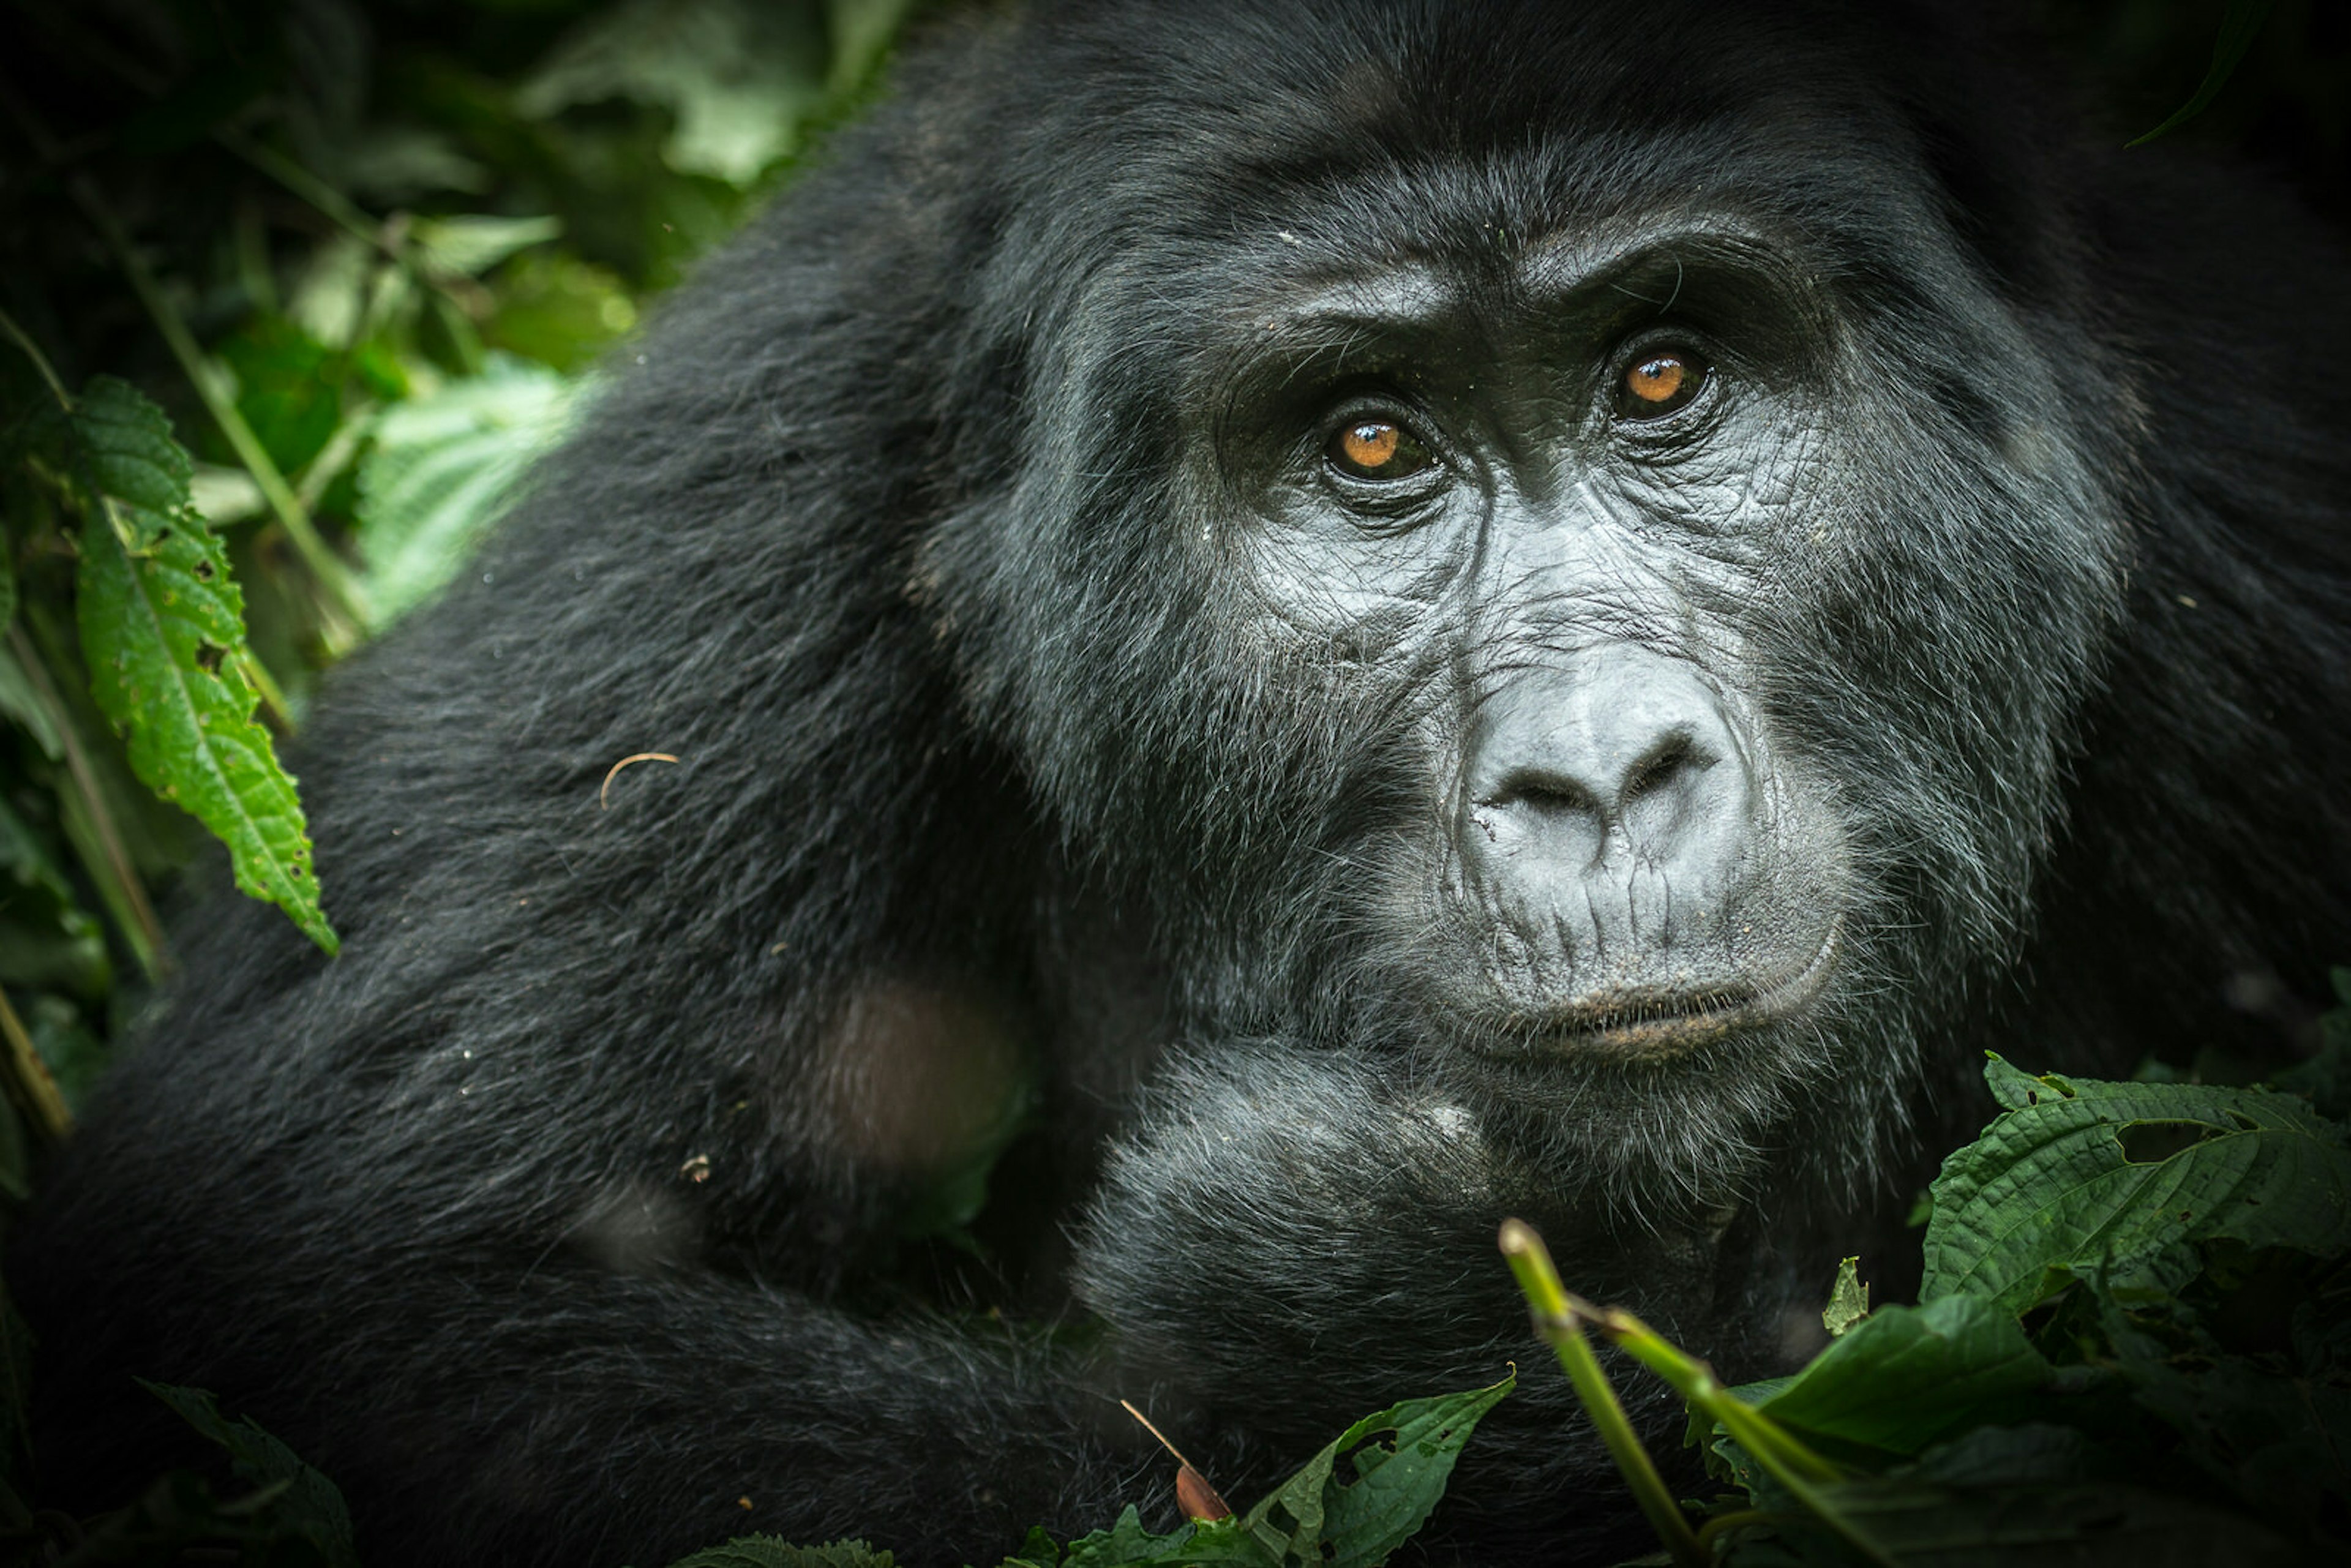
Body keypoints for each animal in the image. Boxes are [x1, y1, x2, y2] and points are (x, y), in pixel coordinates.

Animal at [18, 0, 2351, 1561]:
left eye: (1664, 374)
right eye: (1371, 443)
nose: (1599, 776)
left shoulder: (2246, 459)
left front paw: (1365, 1288)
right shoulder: (757, 466)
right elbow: (346, 1292)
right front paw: (1409, 1319)